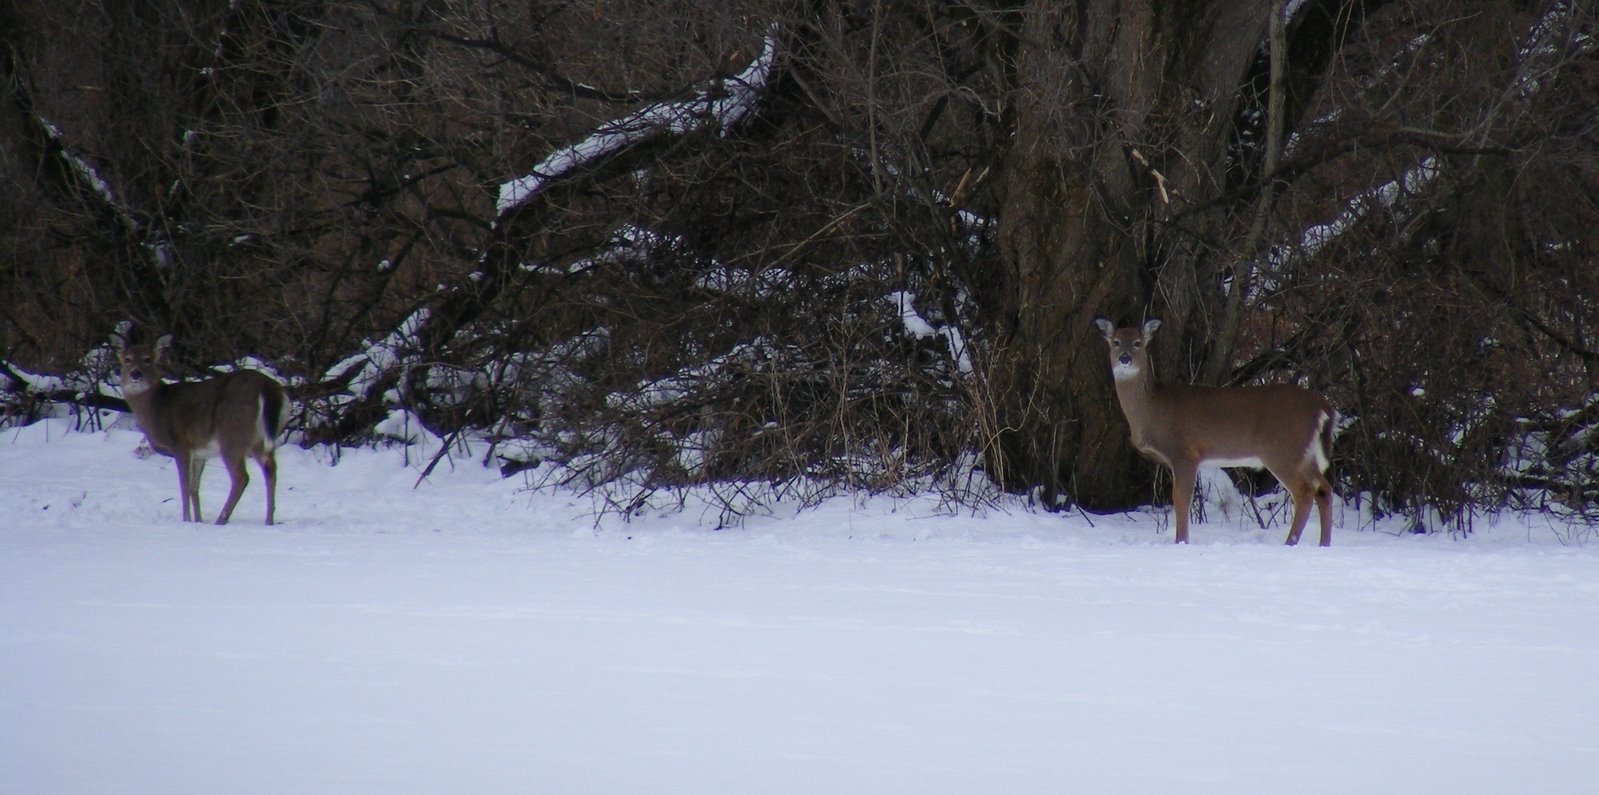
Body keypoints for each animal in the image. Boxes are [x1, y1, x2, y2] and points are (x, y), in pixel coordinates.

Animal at [114, 331, 289, 524]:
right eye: (127, 359)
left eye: (147, 359)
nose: (135, 374)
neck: (156, 408)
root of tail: (267, 387)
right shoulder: (199, 452)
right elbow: (194, 488)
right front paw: (198, 520)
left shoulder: (180, 443)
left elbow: (184, 486)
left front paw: (186, 520)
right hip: (261, 439)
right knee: (270, 469)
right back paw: (269, 521)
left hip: (232, 434)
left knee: (241, 477)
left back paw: (221, 520)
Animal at [1100, 316, 1336, 543]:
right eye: (1116, 342)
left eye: (1138, 343)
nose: (1124, 358)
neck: (1153, 408)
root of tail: (1322, 406)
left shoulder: (1184, 453)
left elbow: (1181, 500)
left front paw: (1181, 541)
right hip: (1303, 453)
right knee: (1324, 489)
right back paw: (1323, 543)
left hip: (1282, 450)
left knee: (1305, 493)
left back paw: (1291, 542)